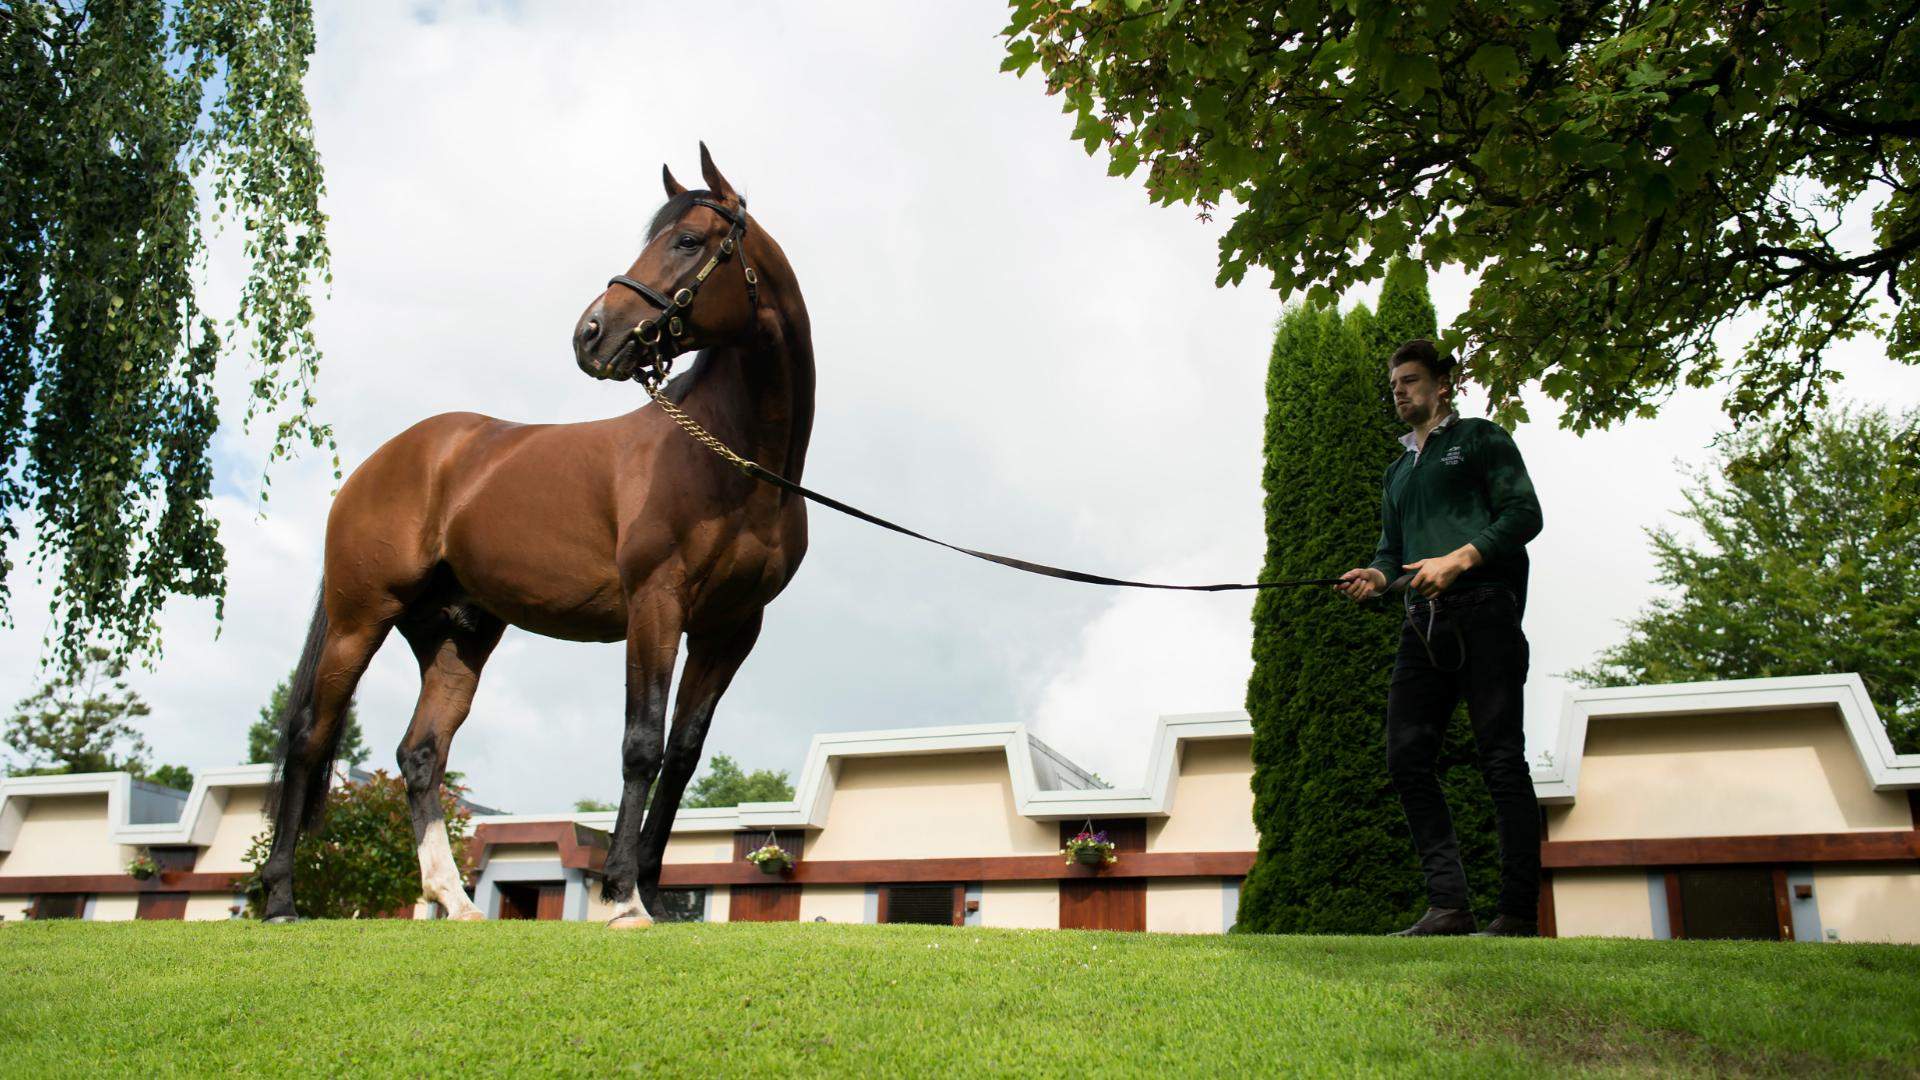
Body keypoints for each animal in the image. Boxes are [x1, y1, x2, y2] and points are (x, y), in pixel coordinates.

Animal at [259, 147, 806, 926]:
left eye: (688, 241)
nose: (591, 333)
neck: (728, 456)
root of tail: (384, 462)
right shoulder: (656, 605)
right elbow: (641, 746)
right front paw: (621, 899)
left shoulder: (731, 628)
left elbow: (681, 756)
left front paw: (651, 892)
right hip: (360, 618)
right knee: (309, 737)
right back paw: (280, 898)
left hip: (456, 636)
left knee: (421, 753)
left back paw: (454, 899)